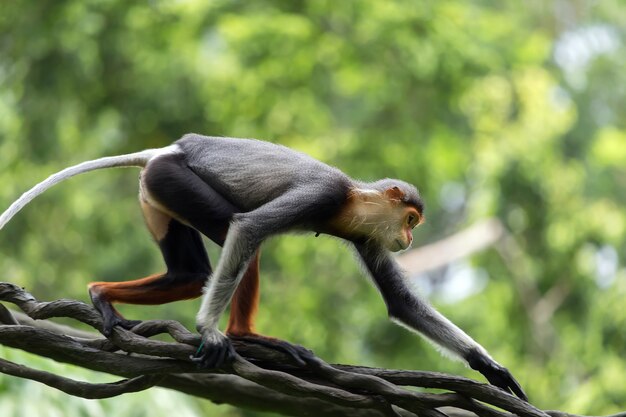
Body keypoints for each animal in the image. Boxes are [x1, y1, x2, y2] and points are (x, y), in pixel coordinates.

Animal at [0, 134, 528, 400]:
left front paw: (490, 368)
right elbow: (251, 227)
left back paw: (100, 294)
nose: (410, 238)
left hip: (156, 194)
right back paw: (240, 336)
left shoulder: (366, 235)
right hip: (174, 181)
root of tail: (165, 150)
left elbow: (400, 302)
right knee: (243, 242)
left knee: (191, 274)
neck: (351, 200)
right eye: (412, 220)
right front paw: (208, 330)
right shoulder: (322, 196)